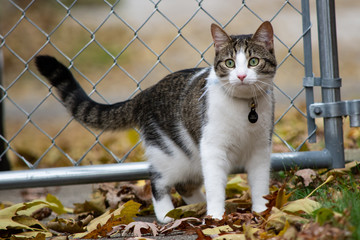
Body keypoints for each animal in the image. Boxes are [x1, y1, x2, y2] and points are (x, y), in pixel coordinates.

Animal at [35, 21, 276, 223]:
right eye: (230, 63)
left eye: (254, 61)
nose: (242, 76)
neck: (244, 107)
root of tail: (147, 92)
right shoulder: (212, 148)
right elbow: (215, 186)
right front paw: (215, 217)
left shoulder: (260, 149)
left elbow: (260, 183)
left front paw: (262, 212)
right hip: (169, 153)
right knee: (158, 181)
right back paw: (168, 214)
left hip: (190, 158)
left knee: (185, 185)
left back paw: (195, 207)